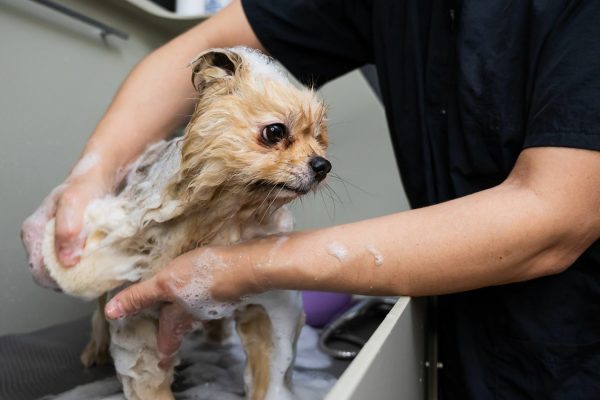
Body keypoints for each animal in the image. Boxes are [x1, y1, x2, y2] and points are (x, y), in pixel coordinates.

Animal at [28, 47, 330, 400]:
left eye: (320, 138)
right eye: (275, 132)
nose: (322, 165)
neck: (224, 220)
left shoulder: (263, 306)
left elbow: (268, 369)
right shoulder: (136, 315)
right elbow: (147, 377)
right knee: (100, 313)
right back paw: (96, 349)